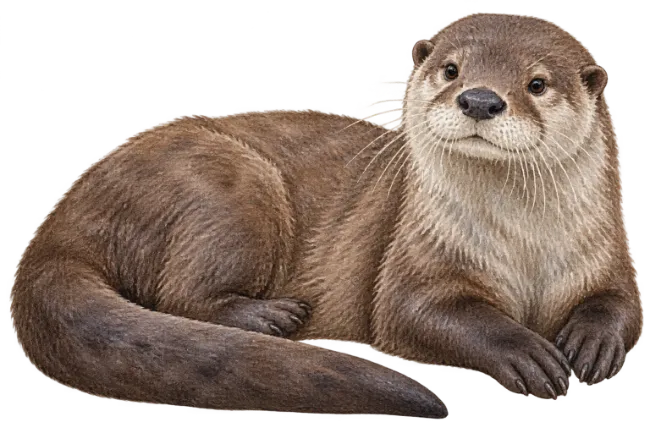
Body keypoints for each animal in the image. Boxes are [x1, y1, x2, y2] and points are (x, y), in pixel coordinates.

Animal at [8, 12, 643, 419]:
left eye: (537, 83)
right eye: (451, 70)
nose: (481, 99)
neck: (524, 248)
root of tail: (68, 212)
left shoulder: (609, 249)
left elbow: (622, 305)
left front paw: (592, 343)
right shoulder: (412, 255)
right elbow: (422, 314)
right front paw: (525, 353)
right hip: (227, 188)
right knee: (180, 294)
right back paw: (270, 318)